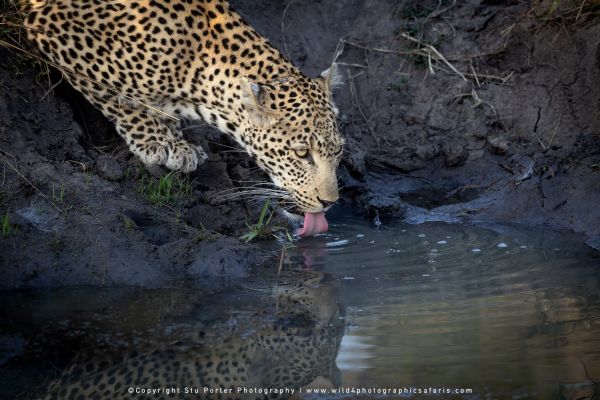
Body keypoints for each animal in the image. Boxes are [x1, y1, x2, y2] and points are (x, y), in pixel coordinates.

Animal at [18, 0, 344, 231]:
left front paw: (174, 138)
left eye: (338, 150)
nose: (330, 203)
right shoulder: (56, 30)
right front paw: (157, 141)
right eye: (301, 153)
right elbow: (117, 98)